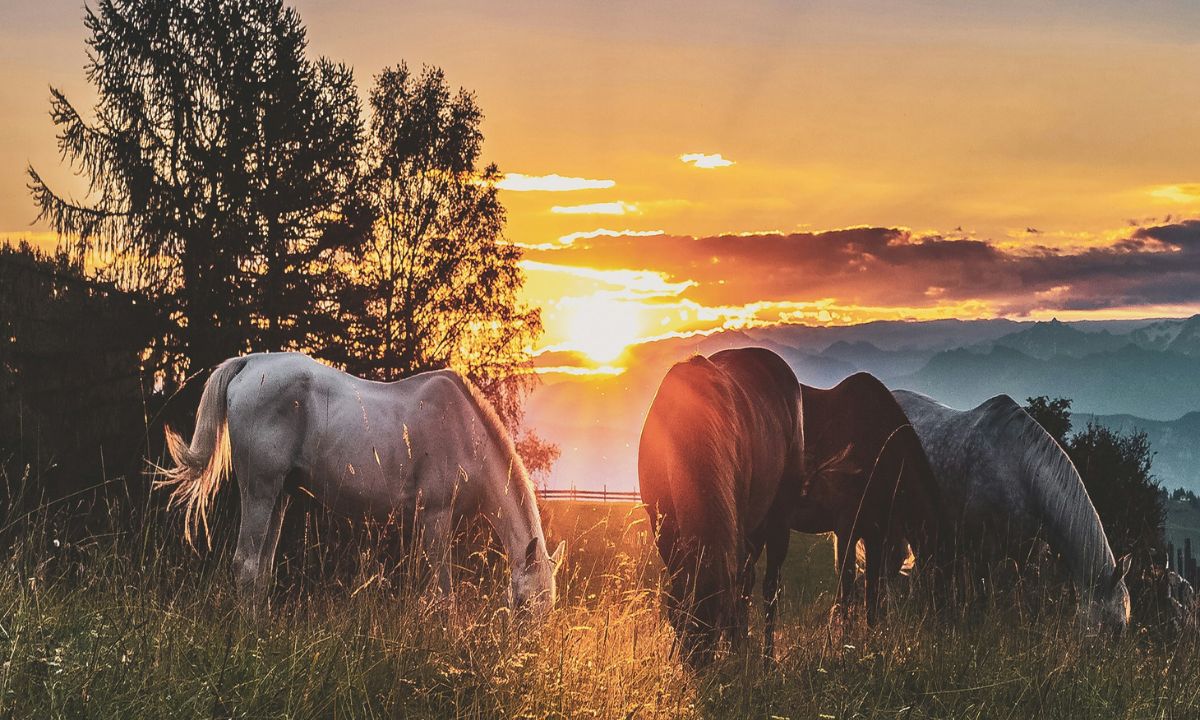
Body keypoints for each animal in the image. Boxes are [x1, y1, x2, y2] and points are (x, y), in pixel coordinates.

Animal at [158, 352, 564, 615]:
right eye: (524, 605)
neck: (465, 432)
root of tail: (250, 364)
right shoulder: (435, 517)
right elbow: (443, 595)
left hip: (280, 495)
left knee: (261, 570)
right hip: (259, 489)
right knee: (246, 564)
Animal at [638, 347, 803, 665]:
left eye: (715, 624)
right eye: (681, 621)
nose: (698, 666)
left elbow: (739, 591)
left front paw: (737, 649)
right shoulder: (663, 526)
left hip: (778, 519)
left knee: (768, 589)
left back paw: (764, 658)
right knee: (748, 583)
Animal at [893, 389, 1131, 631]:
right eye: (1116, 625)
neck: (1021, 472)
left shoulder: (1028, 553)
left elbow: (1027, 597)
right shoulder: (983, 550)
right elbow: (982, 596)